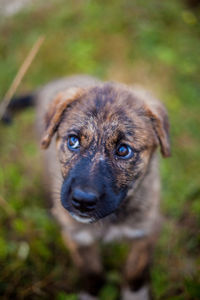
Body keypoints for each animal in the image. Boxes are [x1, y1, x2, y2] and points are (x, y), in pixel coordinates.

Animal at [5, 74, 170, 298]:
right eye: (73, 141)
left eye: (123, 150)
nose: (82, 201)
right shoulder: (79, 238)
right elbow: (91, 273)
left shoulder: (147, 230)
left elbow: (135, 272)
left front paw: (135, 295)